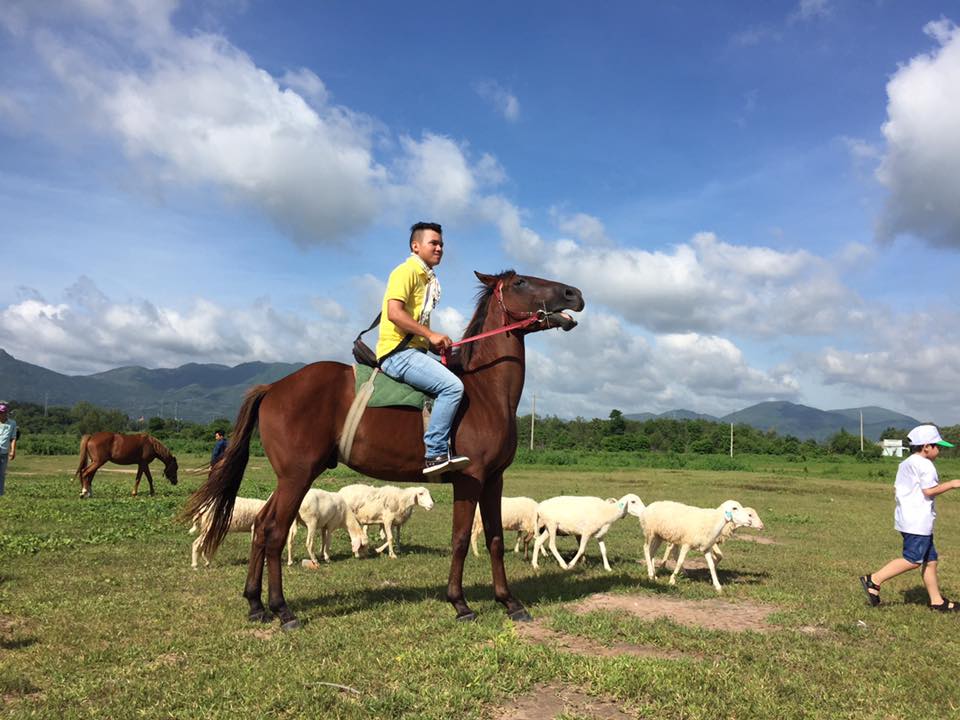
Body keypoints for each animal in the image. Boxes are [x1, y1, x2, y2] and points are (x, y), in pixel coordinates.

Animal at [184, 268, 580, 628]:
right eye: (521, 282)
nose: (573, 293)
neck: (484, 392)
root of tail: (274, 387)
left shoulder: (494, 479)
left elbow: (496, 538)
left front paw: (509, 602)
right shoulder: (469, 480)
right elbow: (460, 540)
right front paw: (460, 603)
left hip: (287, 480)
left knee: (261, 525)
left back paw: (255, 604)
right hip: (297, 477)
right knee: (275, 531)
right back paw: (283, 610)